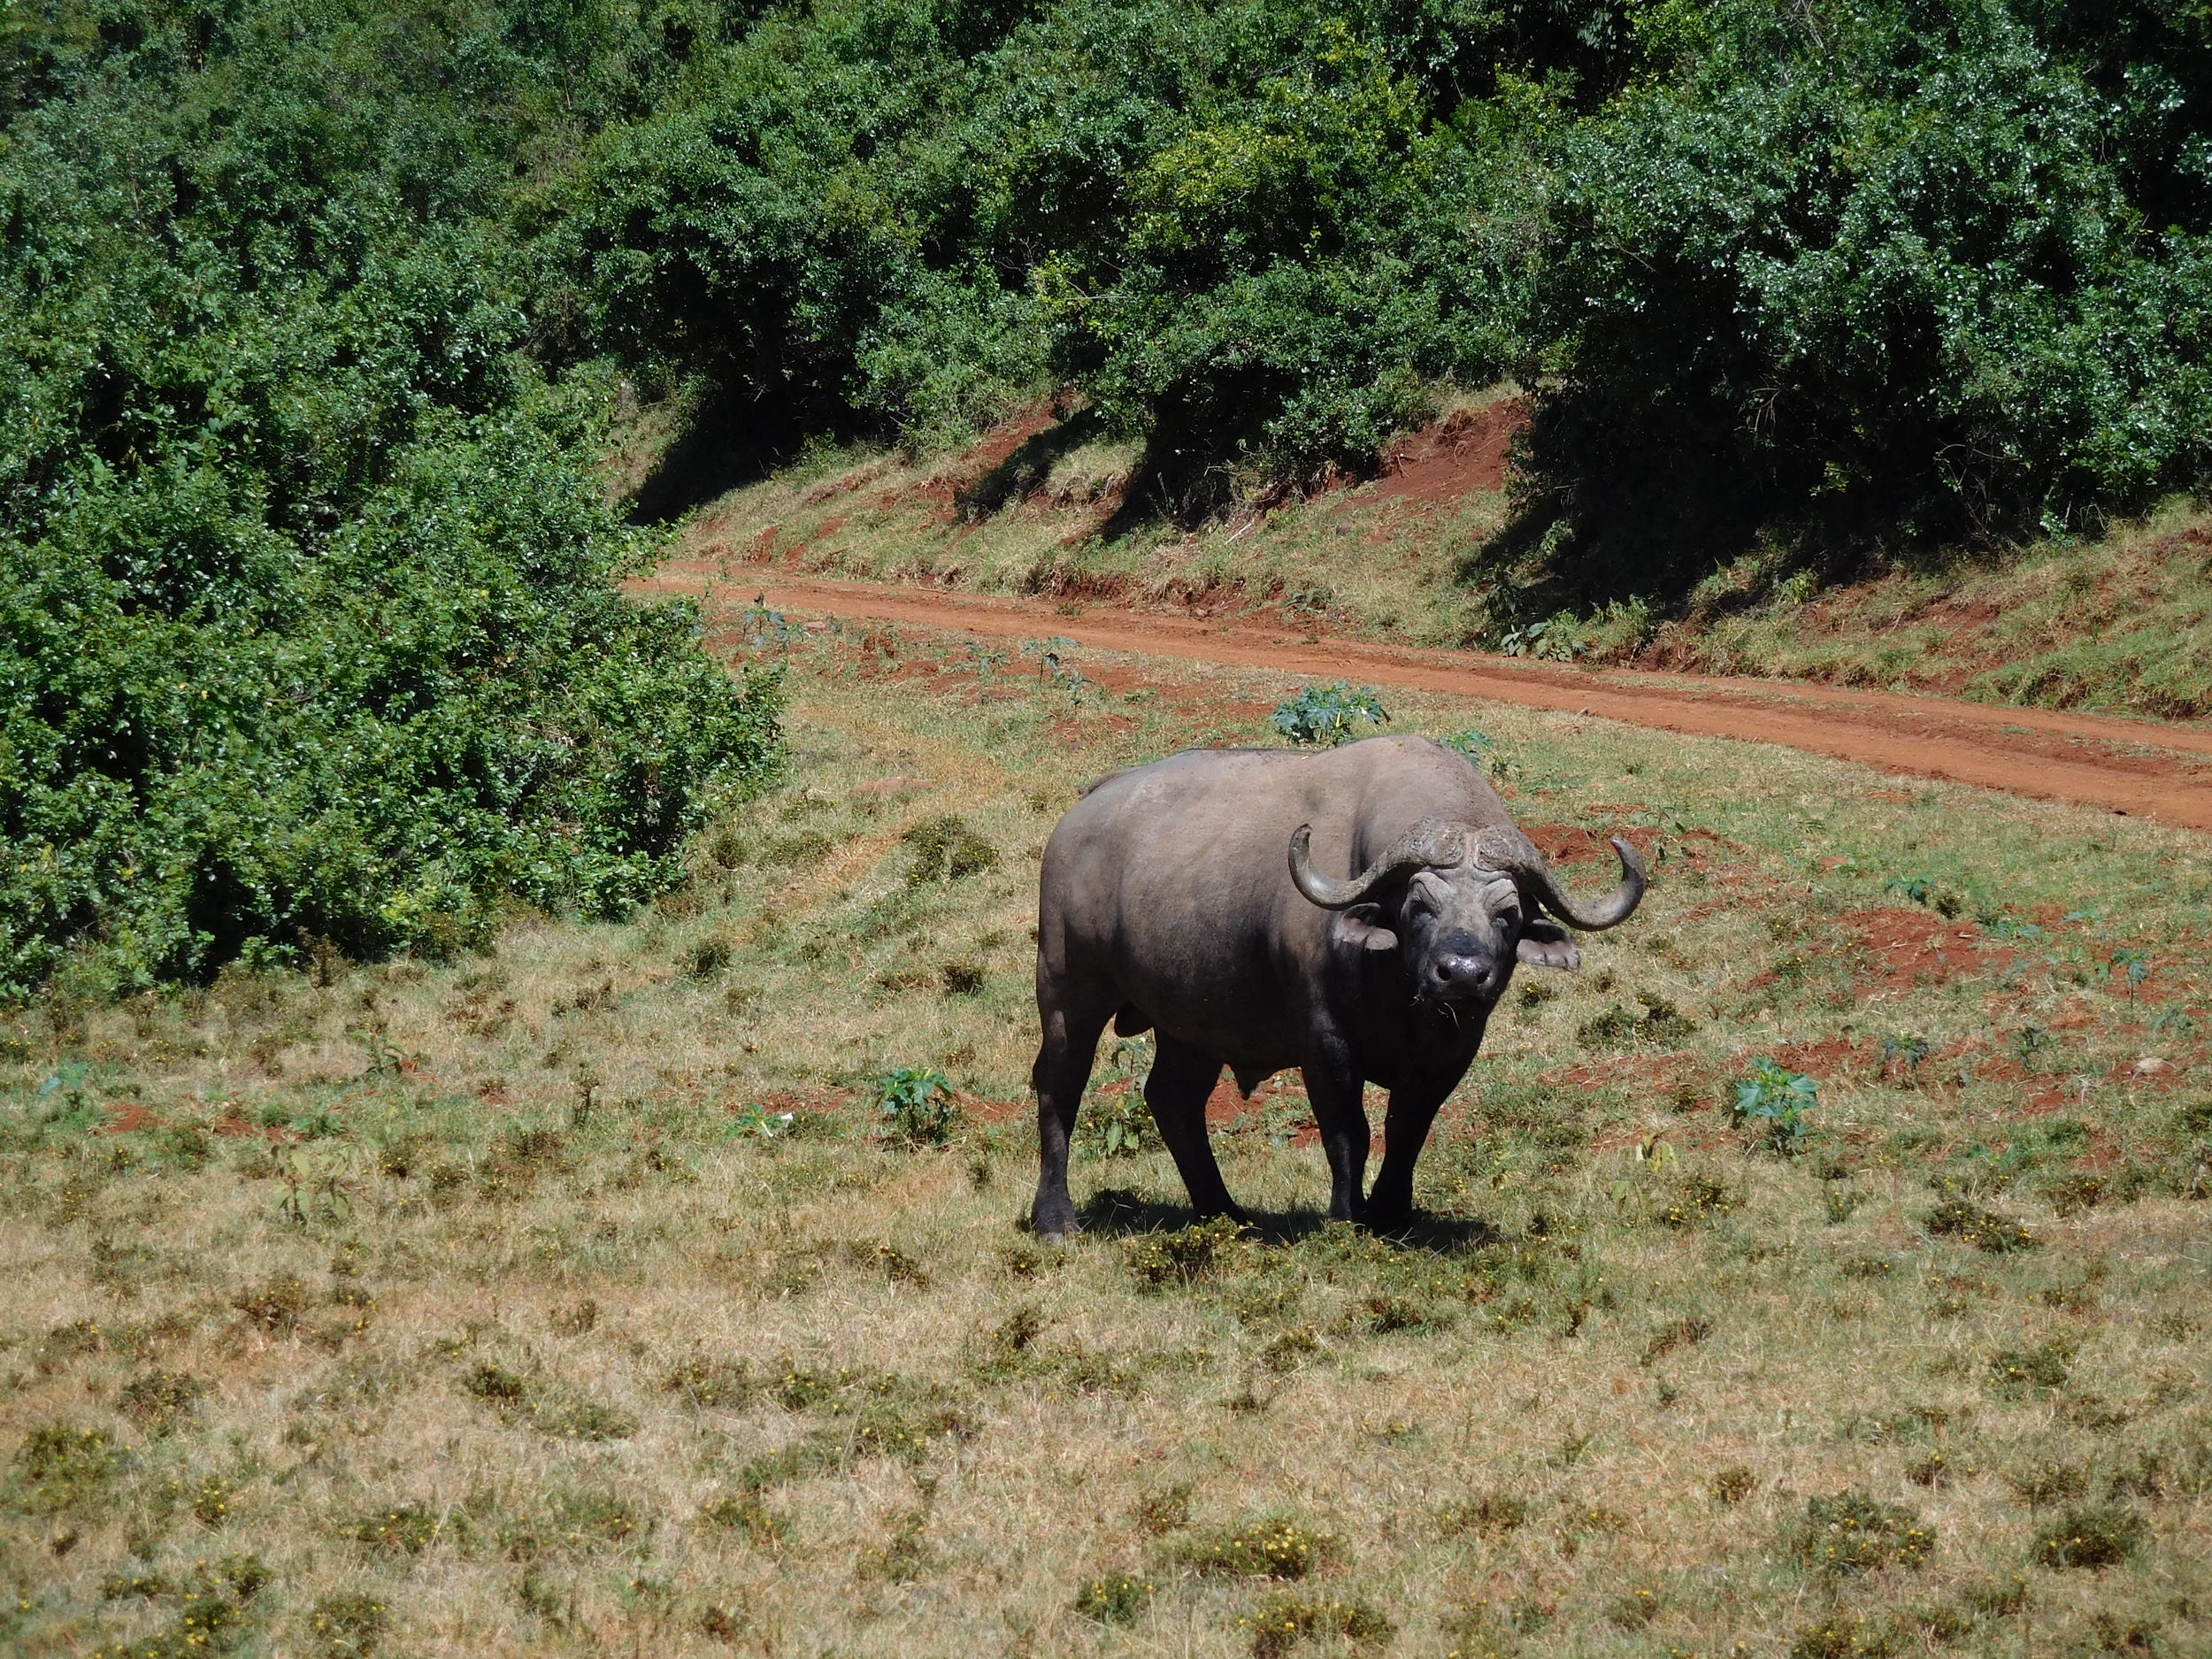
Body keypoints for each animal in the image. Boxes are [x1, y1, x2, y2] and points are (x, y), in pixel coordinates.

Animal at [1026, 734, 1637, 1239]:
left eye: (1507, 914)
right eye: (1419, 905)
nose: (1461, 973)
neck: (1398, 992)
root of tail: (1081, 816)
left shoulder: (1454, 1049)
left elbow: (1408, 1127)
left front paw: (1392, 1214)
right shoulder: (1324, 1043)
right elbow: (1349, 1130)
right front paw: (1348, 1217)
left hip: (1192, 1021)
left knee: (1174, 1099)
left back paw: (1224, 1213)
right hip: (1068, 990)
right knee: (1060, 1088)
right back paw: (1056, 1220)